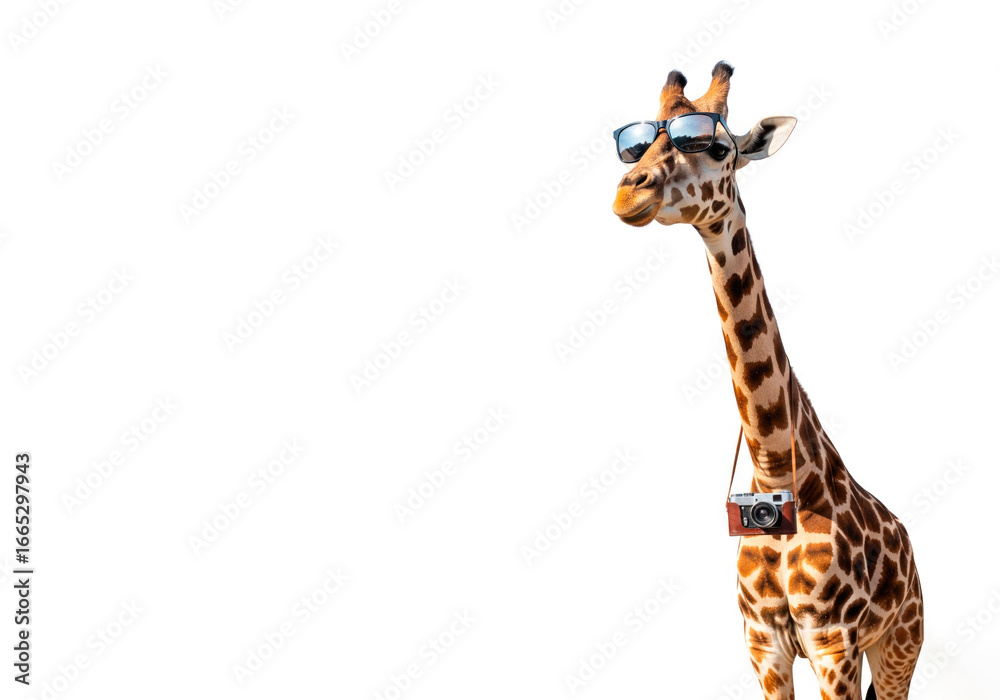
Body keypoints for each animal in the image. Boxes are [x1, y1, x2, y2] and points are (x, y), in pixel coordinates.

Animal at [611, 62, 924, 699]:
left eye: (716, 147)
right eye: (636, 145)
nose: (630, 192)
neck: (776, 471)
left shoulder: (833, 645)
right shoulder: (764, 646)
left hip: (900, 644)